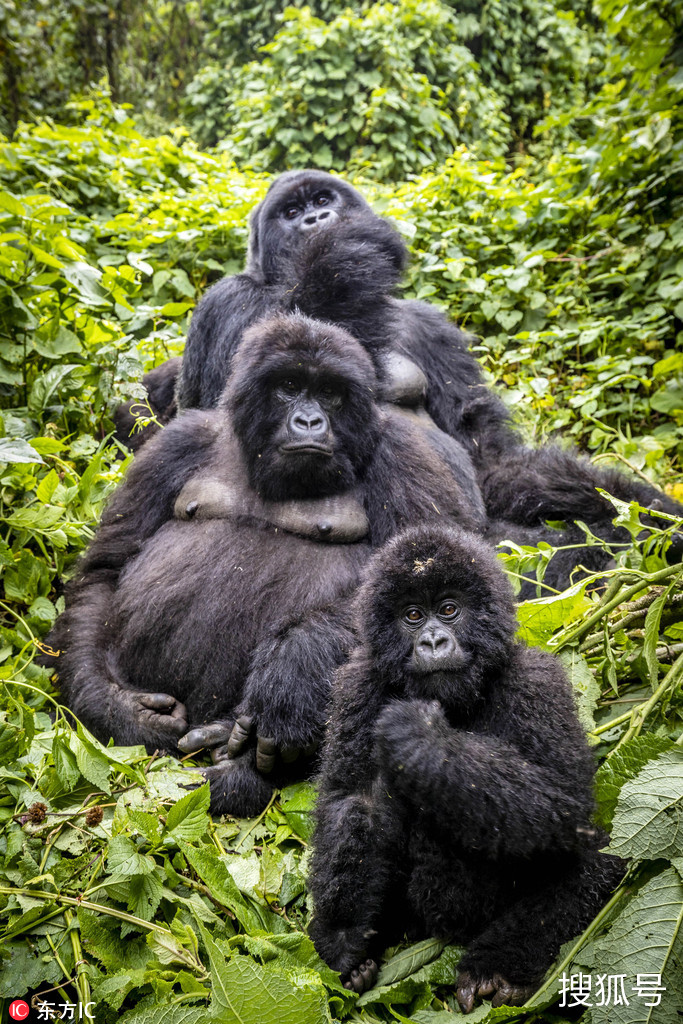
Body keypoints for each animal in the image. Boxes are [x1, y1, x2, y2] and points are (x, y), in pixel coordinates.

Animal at [46, 311, 481, 815]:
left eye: (330, 392)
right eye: (289, 386)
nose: (310, 420)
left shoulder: (402, 453)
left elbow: (446, 577)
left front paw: (290, 674)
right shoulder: (176, 442)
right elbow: (105, 570)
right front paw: (114, 706)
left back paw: (241, 775)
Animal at [309, 524, 626, 1011]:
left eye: (449, 609)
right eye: (413, 615)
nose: (433, 642)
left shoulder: (536, 681)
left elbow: (564, 801)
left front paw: (424, 740)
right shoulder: (359, 684)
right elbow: (354, 799)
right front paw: (344, 937)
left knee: (589, 864)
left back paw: (498, 966)